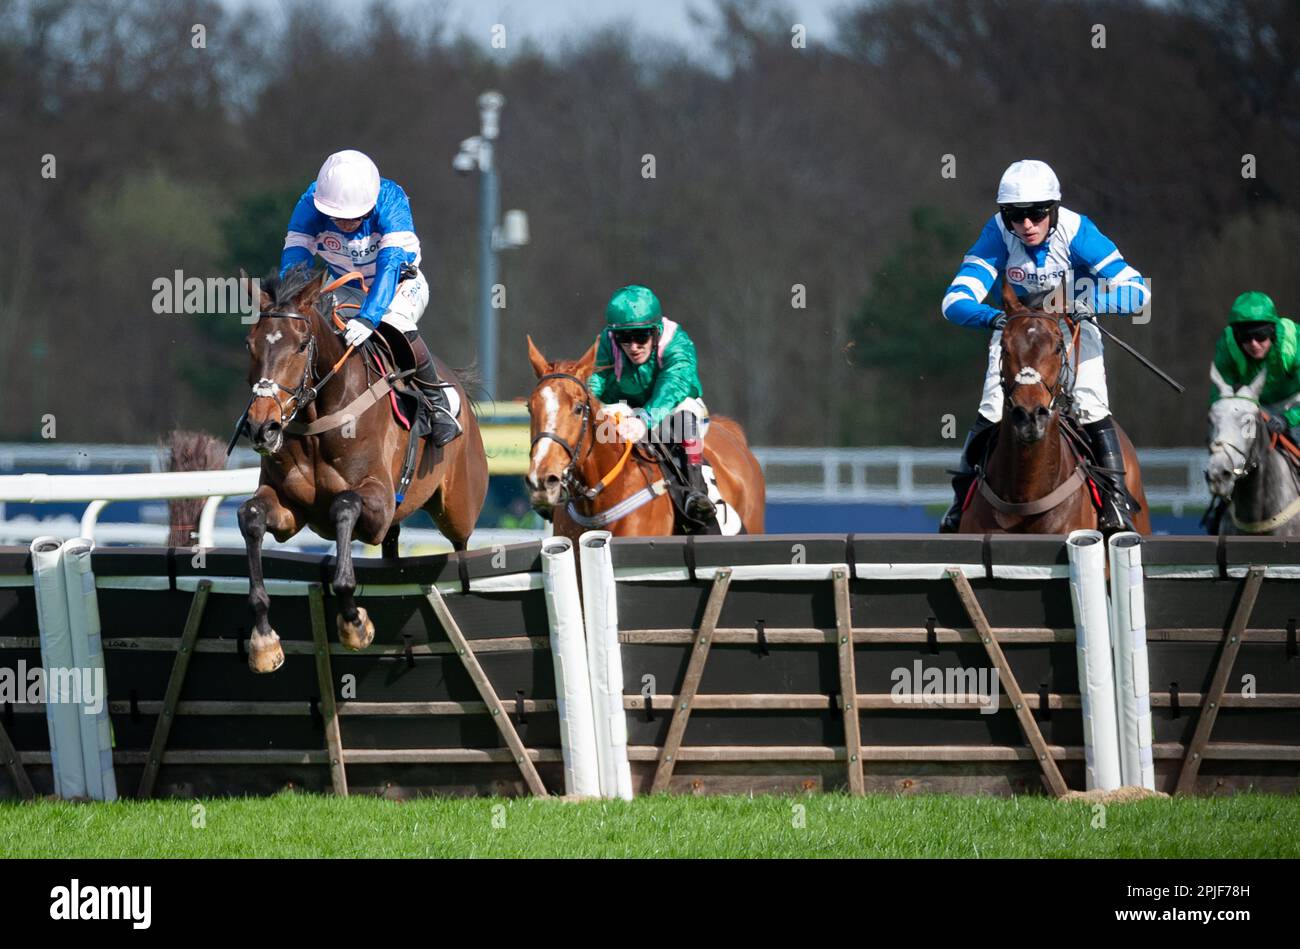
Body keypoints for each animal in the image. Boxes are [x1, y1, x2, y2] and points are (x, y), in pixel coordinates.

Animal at [235, 267, 488, 670]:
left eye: (301, 345)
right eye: (250, 344)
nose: (263, 427)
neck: (318, 415)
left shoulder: (378, 503)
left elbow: (343, 505)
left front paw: (354, 623)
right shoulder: (290, 511)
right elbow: (251, 516)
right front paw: (263, 640)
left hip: (458, 508)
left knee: (461, 545)